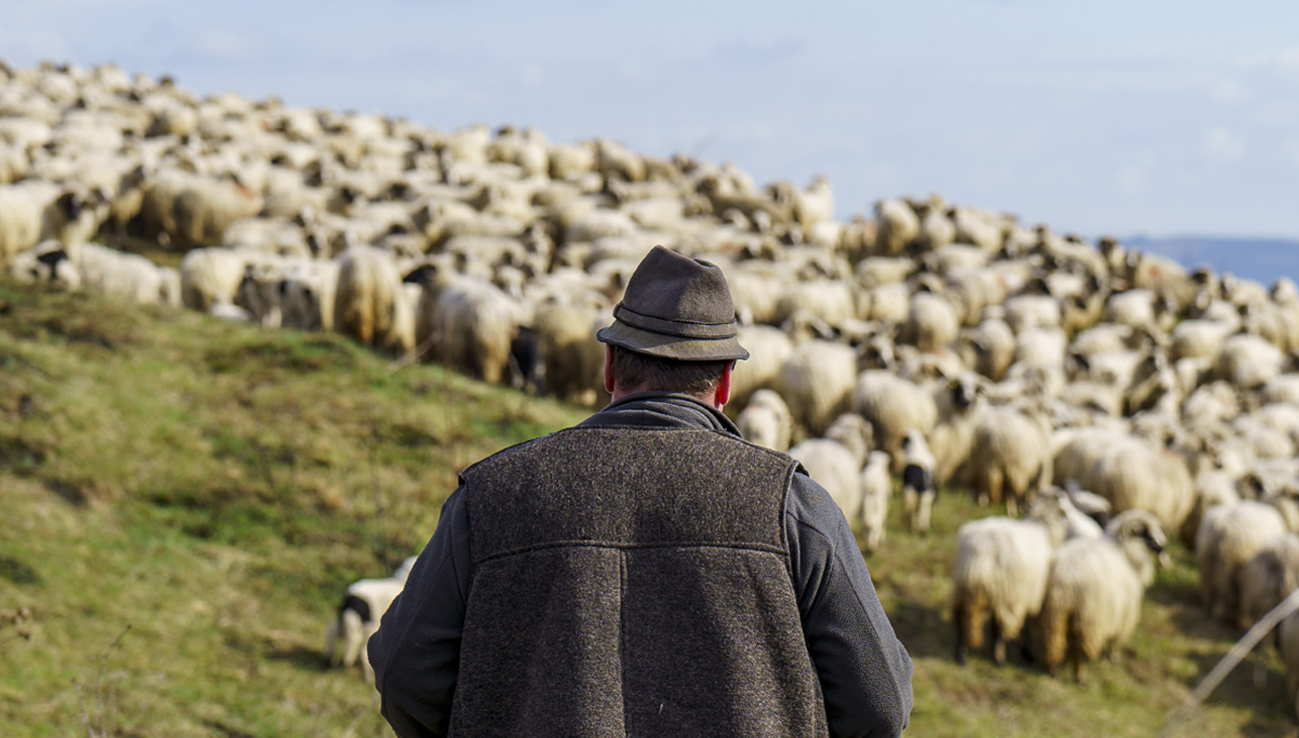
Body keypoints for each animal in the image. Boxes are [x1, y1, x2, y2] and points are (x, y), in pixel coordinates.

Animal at [1039, 509, 1174, 680]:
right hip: (1088, 616)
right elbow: (1116, 638)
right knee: (1079, 647)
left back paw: (1053, 669)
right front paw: (1113, 655)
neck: (1125, 552)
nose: (1163, 547)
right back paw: (1080, 674)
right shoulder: (1125, 613)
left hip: (1054, 611)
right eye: (1146, 533)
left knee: (1052, 639)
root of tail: (1065, 574)